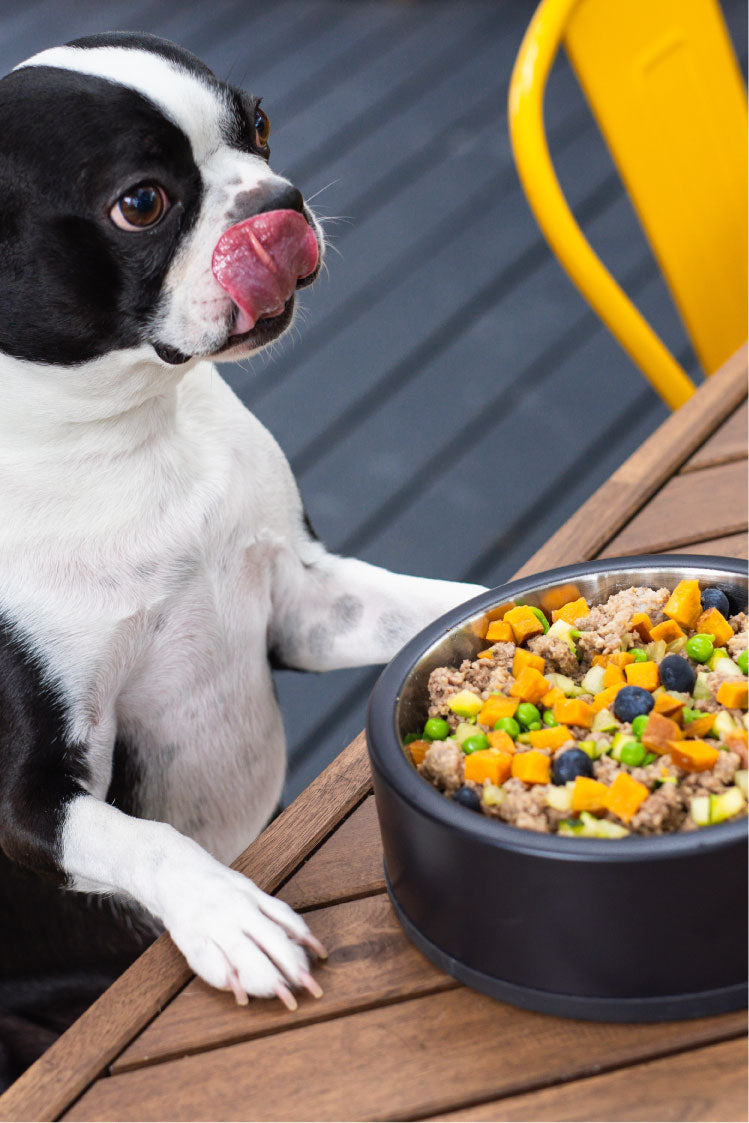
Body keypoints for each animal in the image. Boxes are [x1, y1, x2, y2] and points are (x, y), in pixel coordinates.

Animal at [0, 30, 482, 1078]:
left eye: (258, 124)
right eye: (141, 203)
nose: (277, 201)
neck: (127, 434)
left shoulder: (304, 605)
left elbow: (440, 604)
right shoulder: (28, 801)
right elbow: (137, 836)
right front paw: (229, 915)